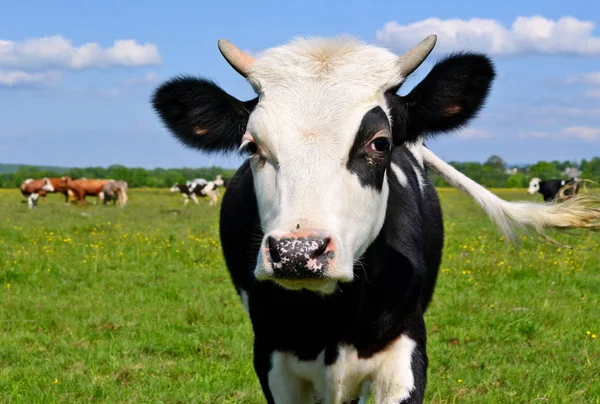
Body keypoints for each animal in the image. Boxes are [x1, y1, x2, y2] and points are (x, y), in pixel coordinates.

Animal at [151, 34, 600, 404]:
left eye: (379, 142)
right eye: (251, 146)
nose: (298, 252)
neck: (331, 321)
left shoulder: (404, 354)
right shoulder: (272, 358)